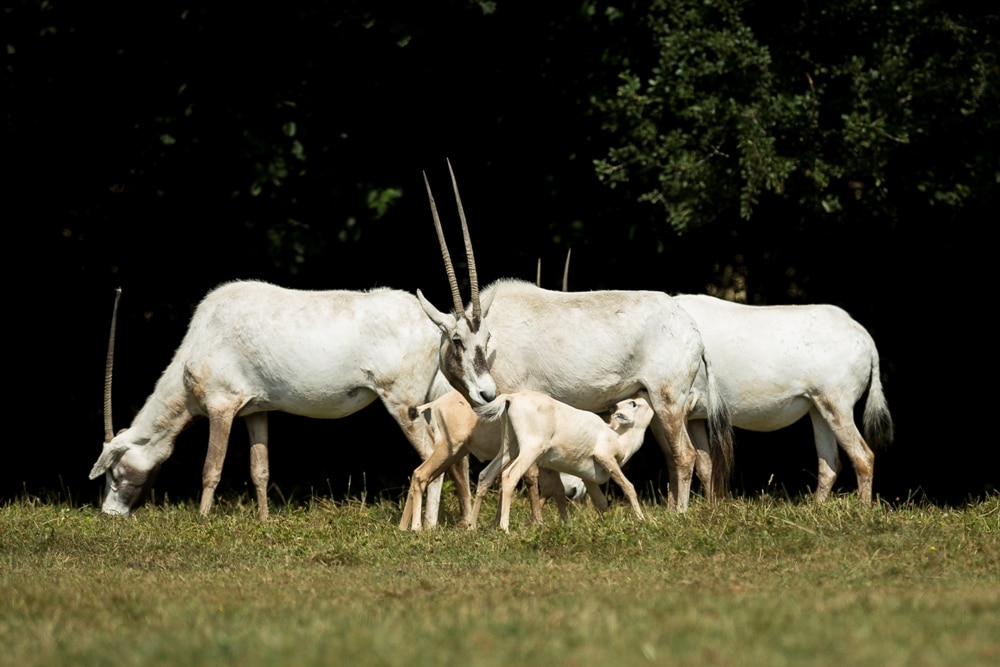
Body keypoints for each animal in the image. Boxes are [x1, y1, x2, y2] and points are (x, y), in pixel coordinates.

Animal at [89, 282, 460, 520]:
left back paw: (424, 526)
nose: (110, 515)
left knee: (431, 456)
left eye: (114, 471)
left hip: (402, 404)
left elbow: (211, 468)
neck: (202, 338)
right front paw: (264, 521)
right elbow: (260, 470)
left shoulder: (222, 405)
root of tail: (435, 326)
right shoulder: (256, 412)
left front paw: (203, 520)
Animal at [414, 163, 736, 512]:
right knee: (681, 455)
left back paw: (678, 514)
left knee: (685, 456)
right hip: (654, 402)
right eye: (458, 340)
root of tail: (691, 329)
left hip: (669, 400)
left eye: (486, 340)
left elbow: (532, 474)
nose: (486, 392)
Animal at [476, 392, 656, 532]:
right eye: (633, 403)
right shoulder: (606, 458)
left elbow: (600, 502)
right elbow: (628, 487)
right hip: (530, 450)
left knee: (486, 475)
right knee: (509, 476)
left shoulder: (589, 479)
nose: (647, 399)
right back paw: (505, 528)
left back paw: (475, 527)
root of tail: (511, 398)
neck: (618, 437)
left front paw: (604, 525)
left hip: (510, 448)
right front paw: (642, 520)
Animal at [676, 294, 896, 504]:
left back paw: (863, 509)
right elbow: (705, 465)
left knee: (863, 457)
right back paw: (814, 508)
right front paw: (712, 507)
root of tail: (863, 337)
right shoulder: (695, 418)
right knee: (830, 463)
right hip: (819, 409)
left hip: (838, 407)